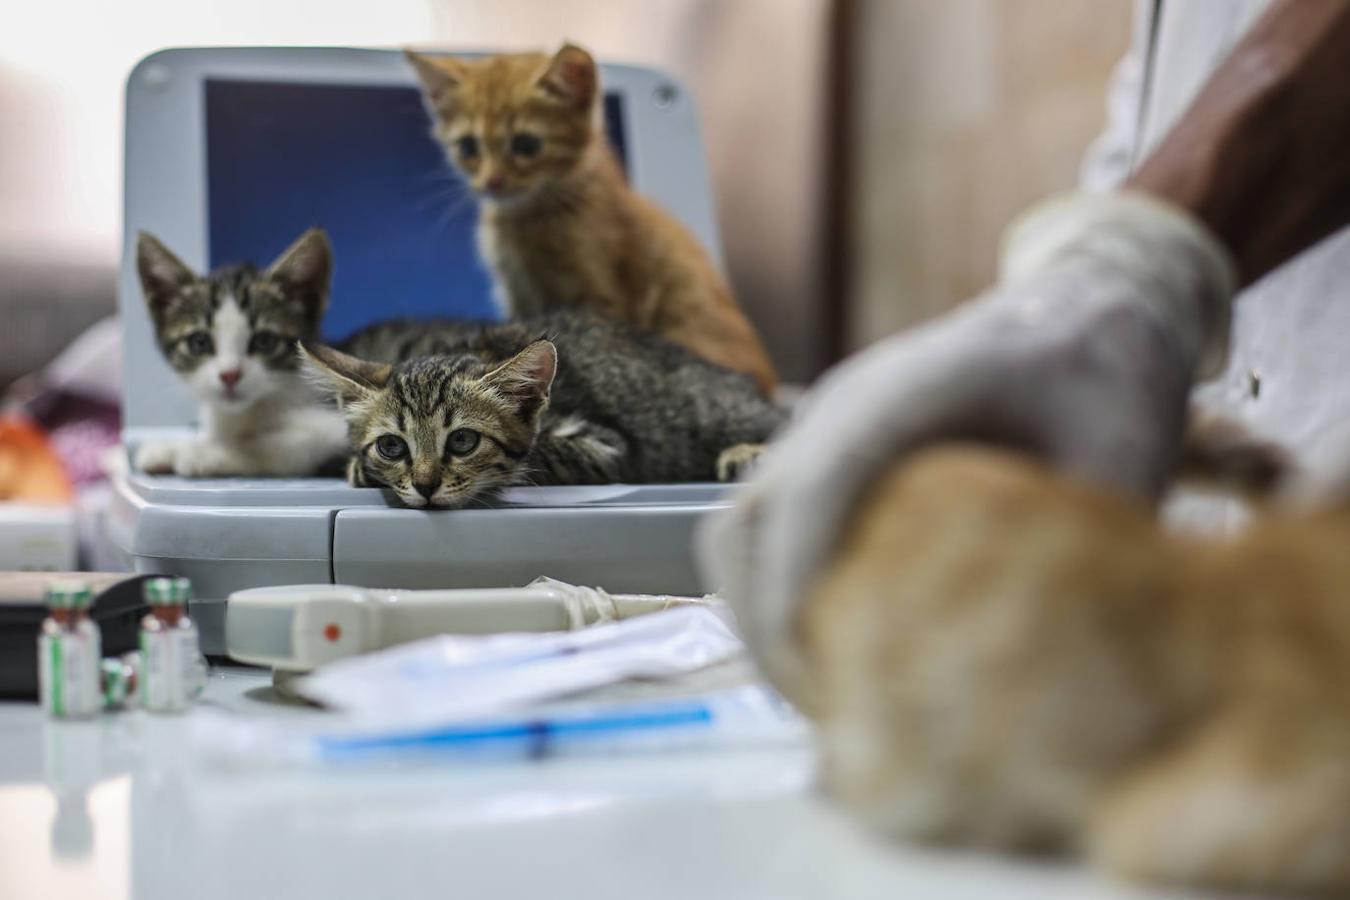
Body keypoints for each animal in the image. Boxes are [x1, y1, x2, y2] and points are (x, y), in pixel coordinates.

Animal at [132, 230, 348, 477]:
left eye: (264, 341)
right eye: (199, 341)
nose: (230, 375)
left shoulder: (336, 425)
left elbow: (278, 446)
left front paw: (204, 452)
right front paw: (170, 448)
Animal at [301, 310, 788, 507]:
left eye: (463, 440)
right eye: (392, 446)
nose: (424, 486)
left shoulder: (609, 448)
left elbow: (541, 452)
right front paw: (361, 467)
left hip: (714, 412)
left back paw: (749, 452)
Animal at [405, 43, 777, 391]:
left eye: (526, 145)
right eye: (468, 147)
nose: (492, 182)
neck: (531, 218)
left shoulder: (598, 293)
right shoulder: (518, 294)